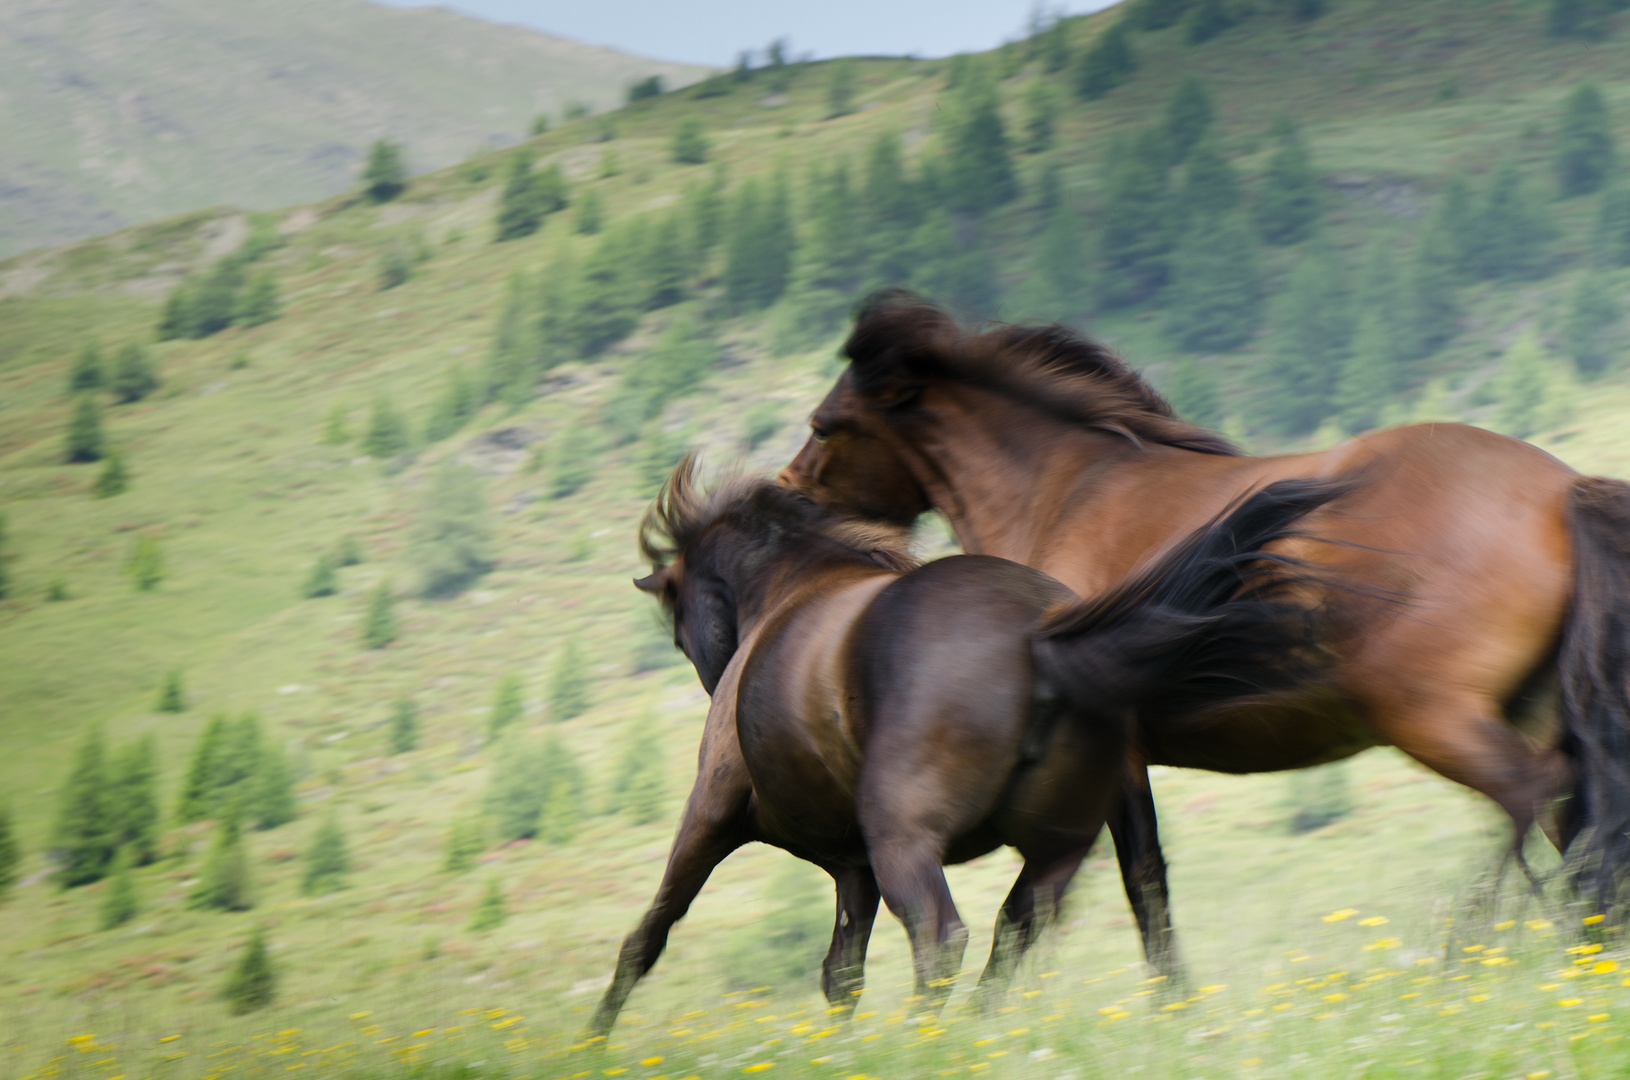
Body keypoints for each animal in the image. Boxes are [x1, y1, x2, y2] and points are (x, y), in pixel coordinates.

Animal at [586, 452, 1336, 1029]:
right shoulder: (851, 867)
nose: (715, 678)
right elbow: (841, 973)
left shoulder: (711, 816)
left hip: (904, 836)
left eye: (677, 629)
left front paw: (593, 1039)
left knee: (943, 934)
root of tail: (1042, 638)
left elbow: (646, 936)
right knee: (1068, 916)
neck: (792, 591)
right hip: (1063, 845)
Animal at [772, 289, 1630, 970]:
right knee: (1574, 811)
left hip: (1428, 712)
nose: (787, 499)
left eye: (825, 425)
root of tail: (1561, 490)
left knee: (1530, 795)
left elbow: (1122, 886)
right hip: (1529, 706)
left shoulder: (1111, 755)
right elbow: (1142, 886)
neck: (1067, 491)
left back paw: (1468, 948)